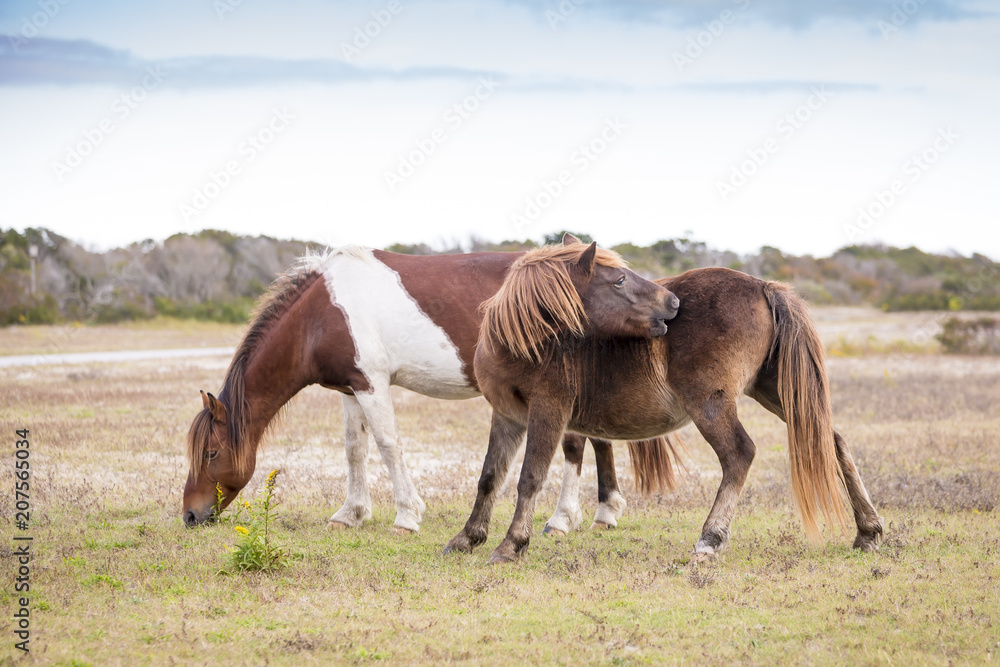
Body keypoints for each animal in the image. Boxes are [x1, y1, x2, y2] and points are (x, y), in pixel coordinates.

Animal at [182, 244, 678, 533]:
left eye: (211, 453)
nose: (190, 514)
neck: (323, 313)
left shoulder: (372, 384)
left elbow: (388, 445)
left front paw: (406, 514)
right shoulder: (350, 389)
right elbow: (355, 450)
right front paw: (351, 513)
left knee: (576, 445)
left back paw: (562, 518)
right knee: (597, 441)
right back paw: (605, 511)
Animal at [444, 238, 884, 564]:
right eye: (620, 279)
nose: (672, 303)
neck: (526, 341)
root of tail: (763, 286)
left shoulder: (548, 413)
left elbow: (529, 477)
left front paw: (511, 545)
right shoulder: (507, 416)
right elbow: (489, 477)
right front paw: (467, 538)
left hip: (712, 404)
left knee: (739, 454)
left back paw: (709, 539)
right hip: (776, 393)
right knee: (831, 441)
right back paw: (868, 531)